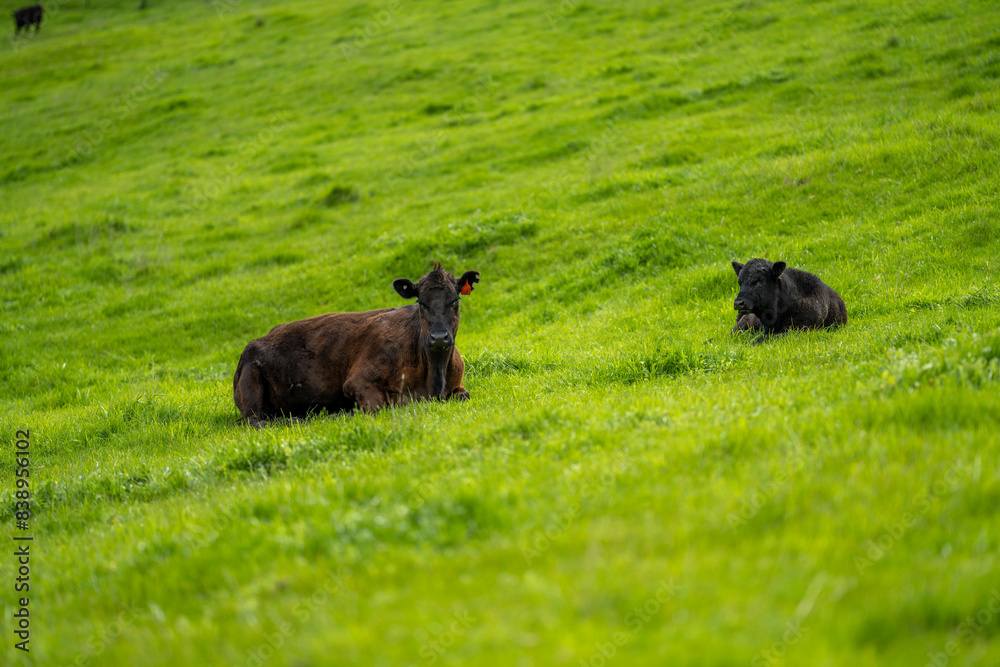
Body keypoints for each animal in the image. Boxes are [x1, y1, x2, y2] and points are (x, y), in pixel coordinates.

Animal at [233, 264, 481, 427]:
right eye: (421, 302)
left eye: (455, 300)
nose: (439, 337)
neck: (434, 377)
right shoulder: (357, 381)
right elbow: (380, 407)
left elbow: (464, 395)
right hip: (251, 391)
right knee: (257, 421)